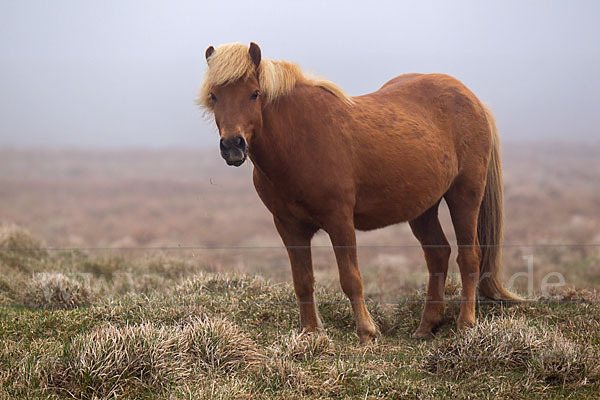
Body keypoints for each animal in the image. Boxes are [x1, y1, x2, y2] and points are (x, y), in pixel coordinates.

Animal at [197, 43, 520, 344]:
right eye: (214, 95)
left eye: (254, 93)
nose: (233, 146)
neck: (300, 140)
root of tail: (472, 99)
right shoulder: (289, 227)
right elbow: (302, 280)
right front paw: (309, 332)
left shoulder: (339, 220)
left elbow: (350, 278)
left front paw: (366, 332)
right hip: (422, 209)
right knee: (438, 254)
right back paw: (426, 326)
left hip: (464, 195)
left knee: (469, 256)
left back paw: (466, 323)